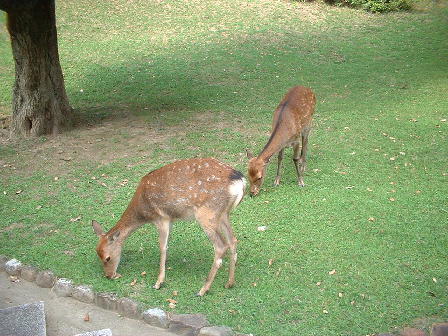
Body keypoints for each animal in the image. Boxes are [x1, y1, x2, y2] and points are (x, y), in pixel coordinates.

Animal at [91, 157, 245, 294]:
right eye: (98, 255)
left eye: (107, 258)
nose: (109, 275)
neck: (143, 211)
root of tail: (239, 180)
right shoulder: (171, 219)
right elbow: (167, 244)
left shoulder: (161, 218)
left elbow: (162, 247)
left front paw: (159, 282)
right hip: (223, 213)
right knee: (233, 240)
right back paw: (229, 283)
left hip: (206, 213)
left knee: (221, 246)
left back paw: (203, 290)